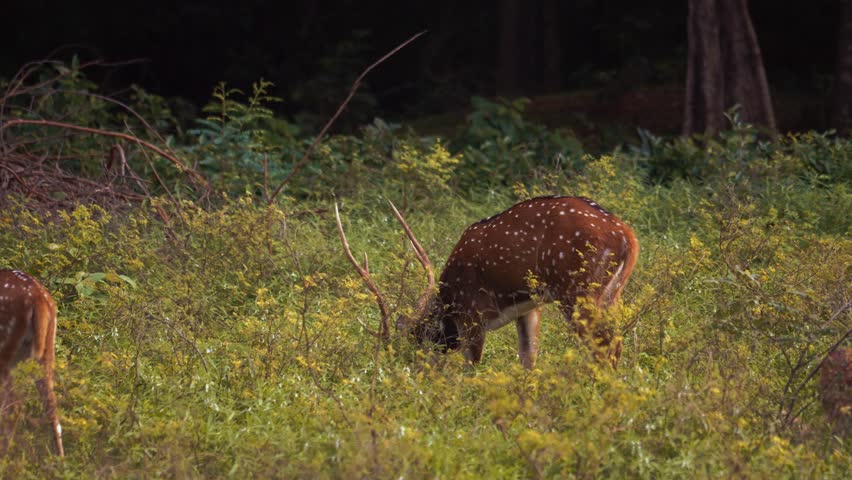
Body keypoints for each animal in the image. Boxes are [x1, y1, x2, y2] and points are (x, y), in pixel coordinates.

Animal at [335, 195, 639, 369]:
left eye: (413, 350)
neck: (450, 299)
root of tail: (627, 235)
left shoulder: (473, 313)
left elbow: (472, 366)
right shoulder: (529, 307)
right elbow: (528, 359)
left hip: (578, 289)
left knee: (603, 346)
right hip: (611, 293)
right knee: (615, 342)